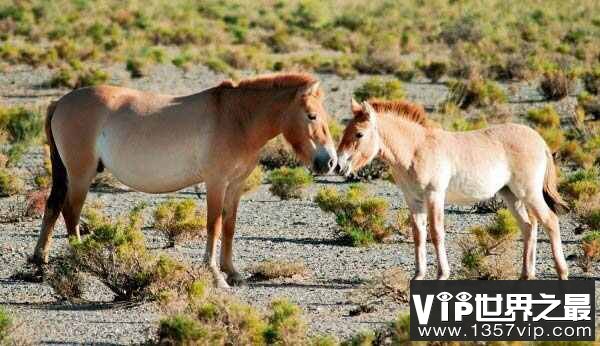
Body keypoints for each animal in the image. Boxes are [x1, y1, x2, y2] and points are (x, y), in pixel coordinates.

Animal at [31, 72, 338, 286]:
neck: (236, 118)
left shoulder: (235, 185)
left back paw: (40, 259)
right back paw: (80, 259)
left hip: (68, 174)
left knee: (54, 207)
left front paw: (233, 273)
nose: (330, 162)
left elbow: (229, 226)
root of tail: (60, 102)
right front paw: (215, 275)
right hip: (80, 175)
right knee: (71, 213)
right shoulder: (216, 182)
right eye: (312, 116)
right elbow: (214, 226)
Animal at [338, 99, 568, 282]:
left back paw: (561, 272)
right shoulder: (413, 200)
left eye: (359, 134)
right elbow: (418, 234)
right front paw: (418, 275)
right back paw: (526, 275)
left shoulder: (434, 195)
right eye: (344, 131)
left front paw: (442, 274)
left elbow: (436, 233)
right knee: (529, 227)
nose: (339, 166)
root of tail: (540, 141)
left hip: (528, 193)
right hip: (511, 195)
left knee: (550, 221)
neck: (415, 149)